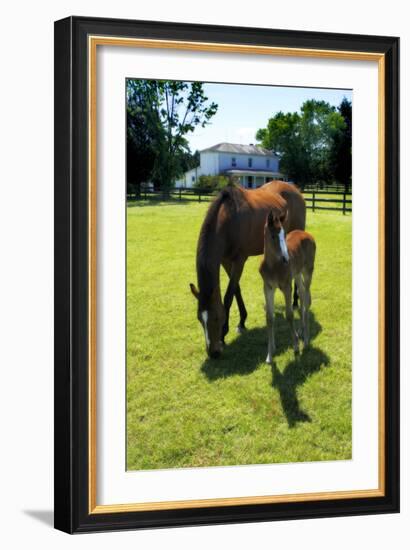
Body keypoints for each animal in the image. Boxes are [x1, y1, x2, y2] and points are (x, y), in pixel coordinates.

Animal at [260, 210, 318, 362]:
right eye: (273, 235)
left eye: (284, 234)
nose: (286, 259)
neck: (273, 266)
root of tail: (307, 234)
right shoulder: (268, 287)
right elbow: (270, 318)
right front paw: (270, 354)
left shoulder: (287, 287)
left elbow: (289, 315)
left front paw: (296, 346)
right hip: (297, 274)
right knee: (302, 294)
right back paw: (301, 331)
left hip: (308, 271)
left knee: (306, 300)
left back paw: (306, 340)